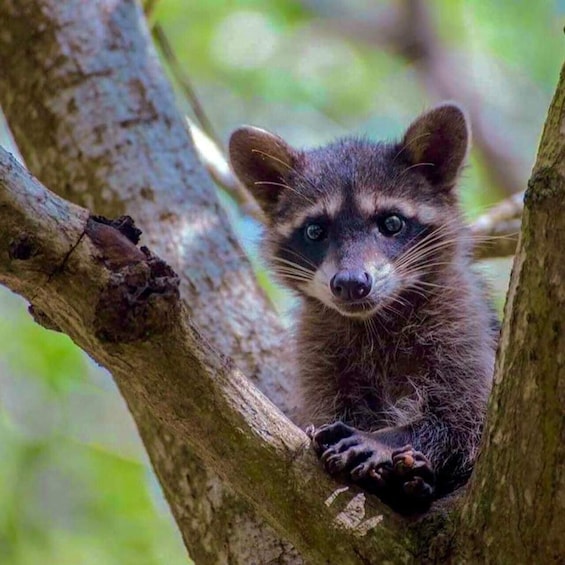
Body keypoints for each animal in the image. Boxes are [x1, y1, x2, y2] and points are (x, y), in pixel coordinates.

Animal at [227, 103, 496, 512]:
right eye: (315, 231)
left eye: (392, 223)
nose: (352, 284)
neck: (373, 319)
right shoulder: (319, 349)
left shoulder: (462, 325)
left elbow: (463, 418)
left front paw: (385, 439)